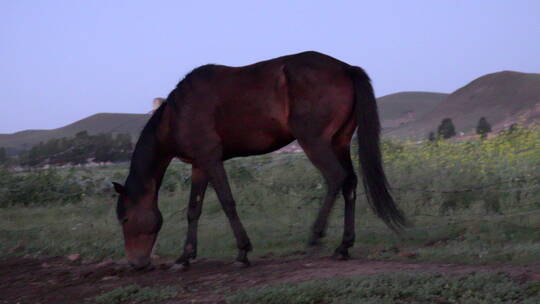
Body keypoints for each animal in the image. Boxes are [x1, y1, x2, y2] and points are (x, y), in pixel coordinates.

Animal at [112, 51, 404, 270]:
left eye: (125, 219)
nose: (136, 263)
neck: (177, 113)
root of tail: (346, 68)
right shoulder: (199, 165)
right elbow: (193, 209)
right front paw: (185, 258)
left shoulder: (211, 158)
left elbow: (227, 202)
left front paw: (242, 252)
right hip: (340, 142)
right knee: (350, 184)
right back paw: (343, 246)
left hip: (315, 141)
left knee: (335, 177)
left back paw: (315, 236)